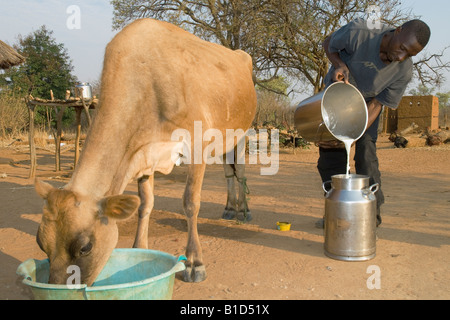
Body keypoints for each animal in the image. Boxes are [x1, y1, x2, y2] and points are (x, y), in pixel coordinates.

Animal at [34, 19, 256, 284]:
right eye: (40, 243)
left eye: (85, 247)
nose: (57, 289)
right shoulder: (142, 153)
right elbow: (144, 204)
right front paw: (139, 249)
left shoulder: (197, 144)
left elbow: (190, 202)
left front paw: (194, 262)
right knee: (228, 172)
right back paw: (229, 208)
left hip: (241, 132)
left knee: (240, 172)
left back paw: (243, 210)